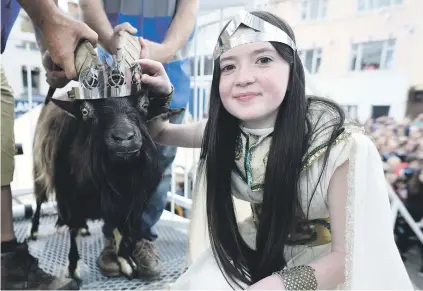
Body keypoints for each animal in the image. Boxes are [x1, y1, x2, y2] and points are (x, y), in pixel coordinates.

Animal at [28, 92, 163, 282]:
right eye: (85, 111)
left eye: (145, 104)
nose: (124, 138)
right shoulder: (70, 197)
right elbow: (73, 231)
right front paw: (73, 268)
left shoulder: (123, 200)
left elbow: (120, 229)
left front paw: (125, 261)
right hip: (40, 169)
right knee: (39, 200)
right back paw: (33, 231)